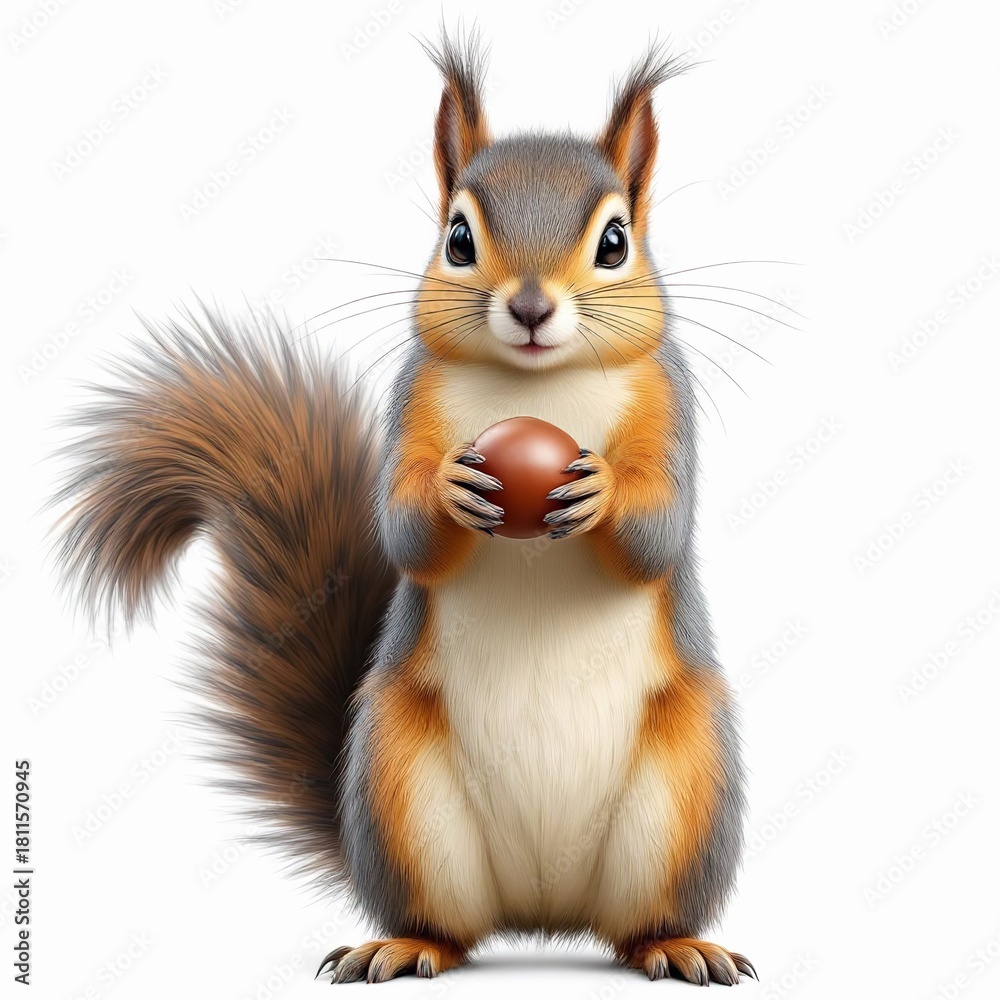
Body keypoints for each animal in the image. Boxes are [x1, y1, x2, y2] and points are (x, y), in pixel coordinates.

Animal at [53, 35, 754, 987]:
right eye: (457, 237)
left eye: (616, 242)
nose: (530, 308)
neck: (535, 384)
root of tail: (543, 917)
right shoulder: (410, 400)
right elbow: (404, 532)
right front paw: (450, 491)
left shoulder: (668, 406)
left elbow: (660, 531)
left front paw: (603, 490)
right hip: (399, 782)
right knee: (446, 923)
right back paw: (404, 944)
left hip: (687, 793)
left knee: (638, 920)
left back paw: (677, 945)